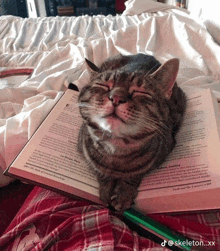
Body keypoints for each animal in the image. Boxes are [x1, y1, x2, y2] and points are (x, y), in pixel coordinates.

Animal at [77, 53, 186, 212]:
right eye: (104, 86)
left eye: (139, 91)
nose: (116, 98)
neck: (116, 149)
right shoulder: (85, 150)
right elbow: (100, 172)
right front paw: (106, 190)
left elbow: (133, 176)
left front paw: (123, 194)